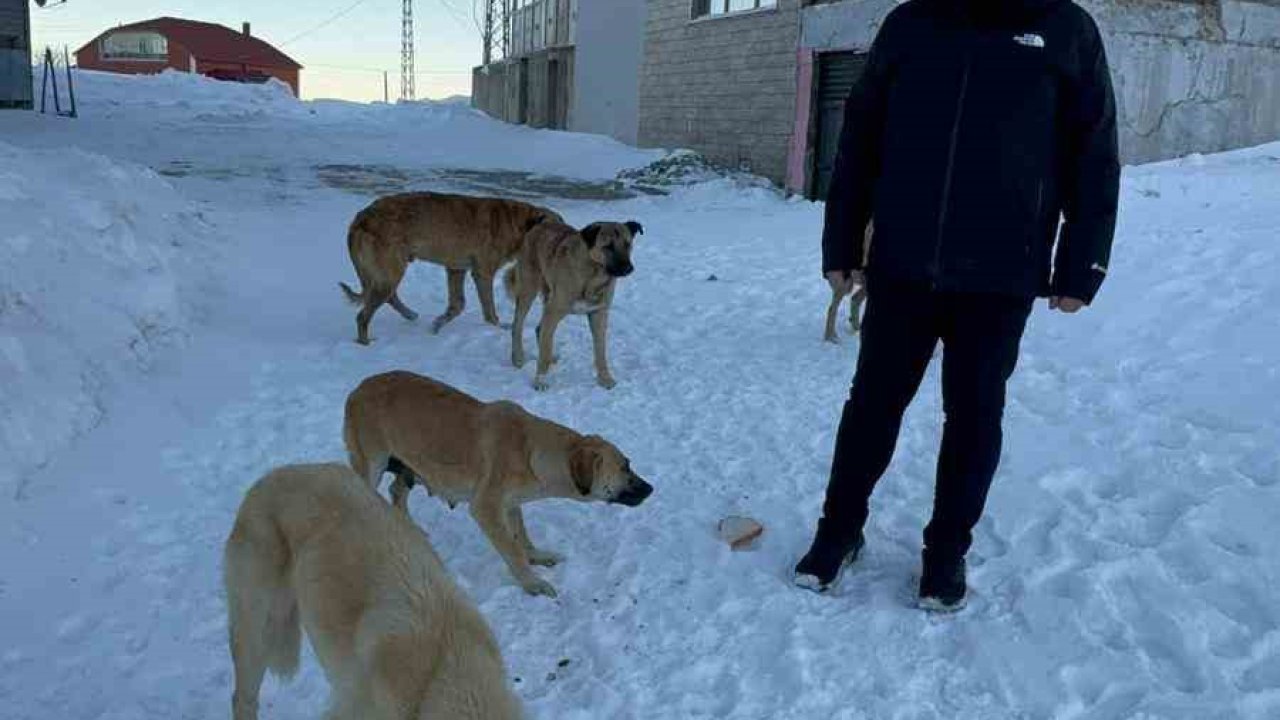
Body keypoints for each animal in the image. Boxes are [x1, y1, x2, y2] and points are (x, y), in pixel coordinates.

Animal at [337, 192, 563, 343]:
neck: (520, 225)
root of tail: (359, 219)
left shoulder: (456, 269)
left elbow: (458, 305)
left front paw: (438, 324)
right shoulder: (482, 273)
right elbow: (489, 311)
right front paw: (500, 327)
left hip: (387, 273)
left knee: (388, 298)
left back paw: (410, 315)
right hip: (391, 272)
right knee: (363, 316)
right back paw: (365, 342)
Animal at [345, 368, 655, 594]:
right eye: (625, 466)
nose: (651, 489)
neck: (531, 450)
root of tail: (358, 388)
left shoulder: (511, 504)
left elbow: (521, 535)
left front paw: (536, 556)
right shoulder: (486, 508)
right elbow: (511, 549)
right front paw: (531, 583)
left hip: (409, 469)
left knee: (396, 491)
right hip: (371, 465)